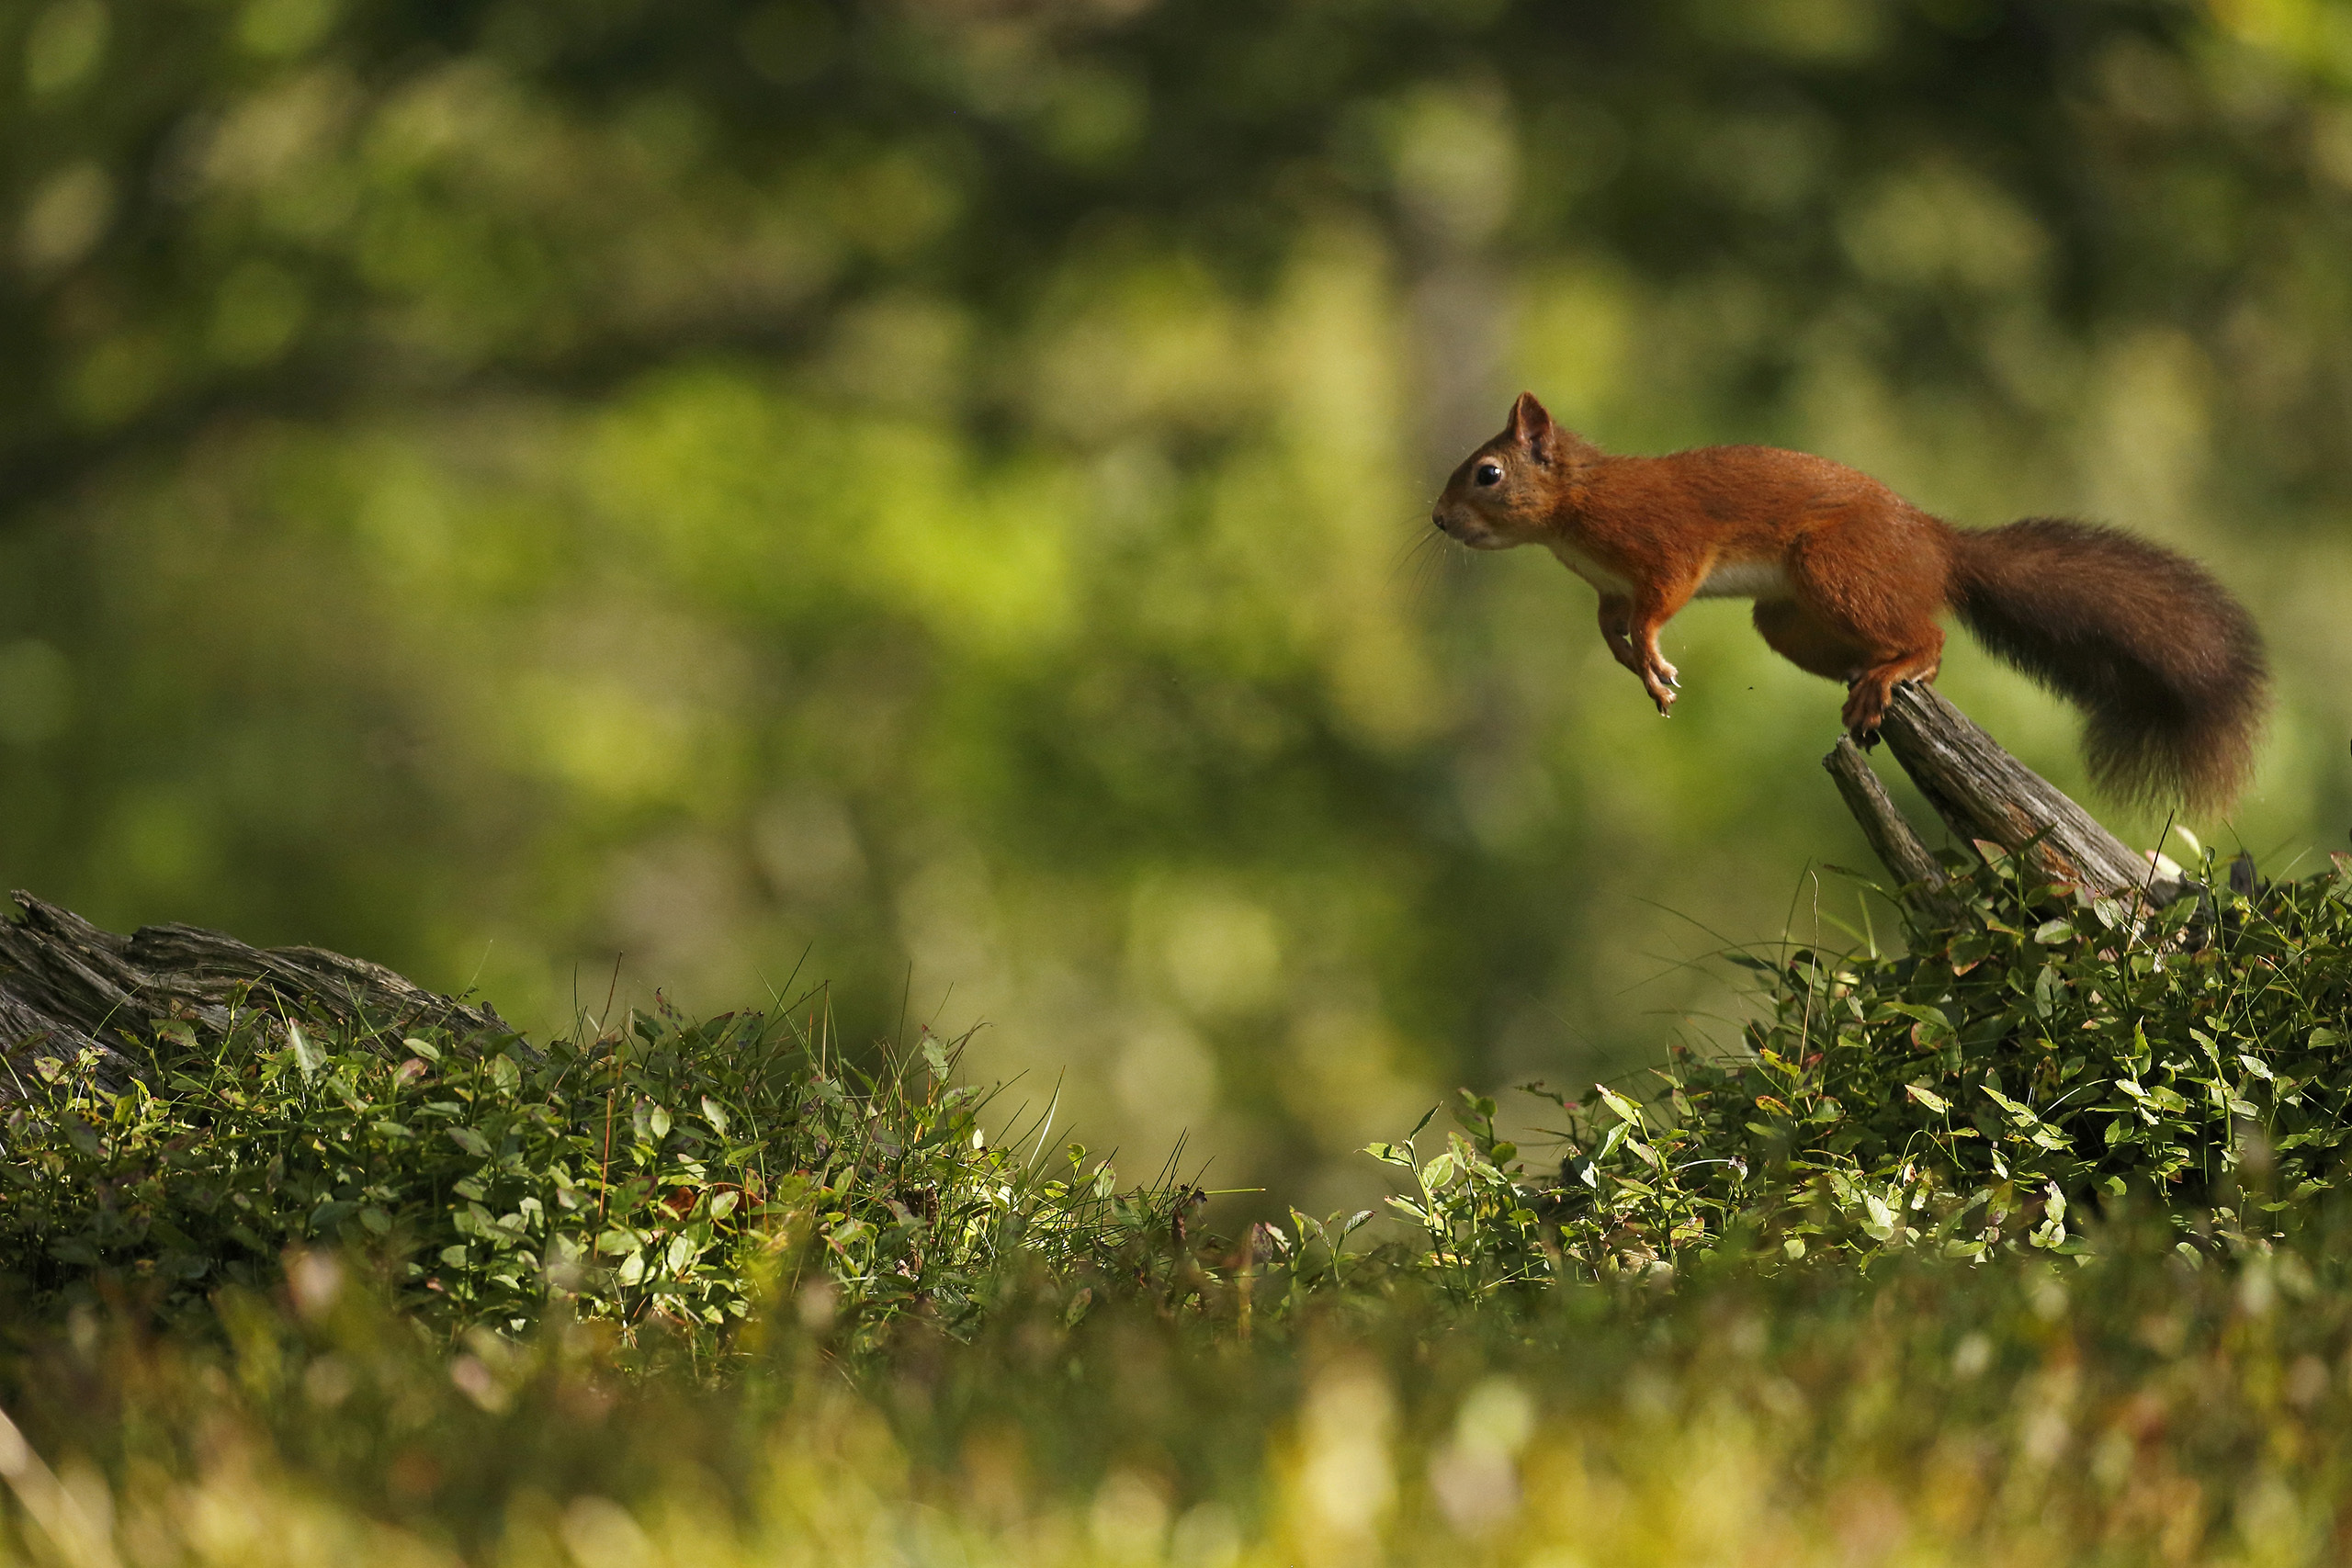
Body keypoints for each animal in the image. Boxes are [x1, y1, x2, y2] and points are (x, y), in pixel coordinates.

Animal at [1431, 392, 2269, 813]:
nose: (1437, 520)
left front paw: (1652, 656)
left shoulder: (1668, 546)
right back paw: (1865, 682)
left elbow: (1661, 601)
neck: (1574, 510)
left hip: (1835, 564)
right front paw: (1635, 663)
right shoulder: (1607, 585)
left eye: (1486, 473)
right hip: (1787, 617)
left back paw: (1896, 673)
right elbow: (1612, 624)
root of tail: (1936, 543)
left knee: (1931, 636)